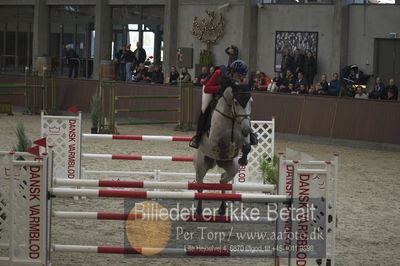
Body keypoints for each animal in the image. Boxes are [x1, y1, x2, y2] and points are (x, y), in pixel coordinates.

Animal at [194, 85, 253, 216]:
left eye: (251, 102)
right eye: (236, 102)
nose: (247, 129)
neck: (232, 117)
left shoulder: (243, 137)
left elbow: (246, 146)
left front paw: (243, 159)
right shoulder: (214, 139)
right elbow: (222, 144)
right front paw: (227, 151)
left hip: (232, 168)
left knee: (223, 180)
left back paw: (222, 208)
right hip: (201, 165)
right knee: (200, 184)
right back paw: (199, 210)